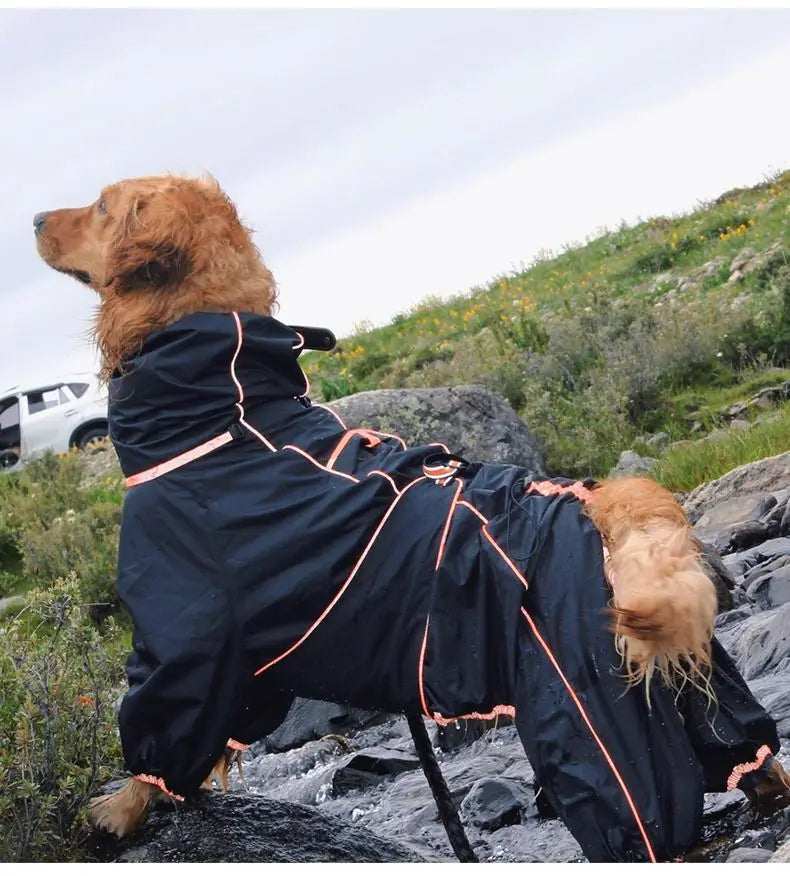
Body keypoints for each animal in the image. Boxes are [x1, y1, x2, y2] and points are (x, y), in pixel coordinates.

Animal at [34, 175, 788, 860]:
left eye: (100, 206)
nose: (36, 216)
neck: (224, 406)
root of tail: (600, 502)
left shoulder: (190, 628)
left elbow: (165, 724)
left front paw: (121, 809)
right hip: (689, 683)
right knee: (744, 747)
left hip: (592, 716)